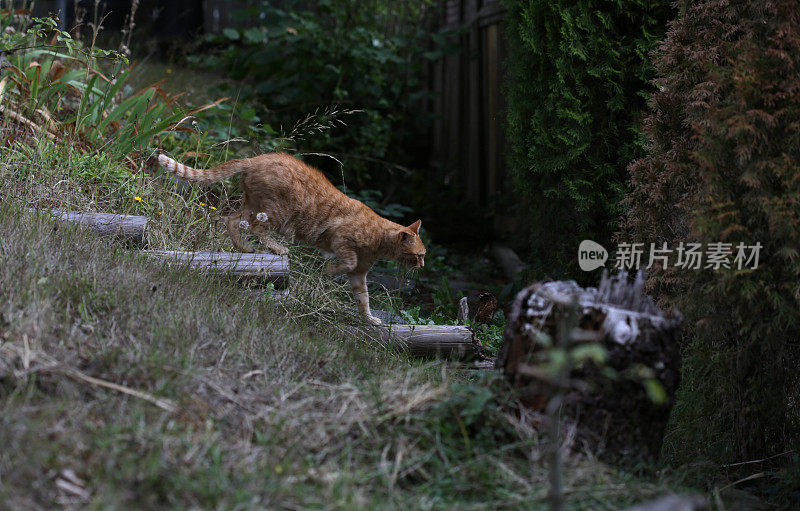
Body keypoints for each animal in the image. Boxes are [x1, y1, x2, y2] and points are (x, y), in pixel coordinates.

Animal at [155, 153, 424, 328]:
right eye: (419, 255)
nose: (421, 266)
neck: (378, 241)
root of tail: (256, 158)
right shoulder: (341, 240)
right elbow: (346, 262)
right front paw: (329, 270)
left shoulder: (359, 275)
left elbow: (363, 299)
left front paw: (369, 319)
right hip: (276, 212)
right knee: (256, 228)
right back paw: (278, 248)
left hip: (253, 206)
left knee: (231, 220)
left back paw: (244, 248)